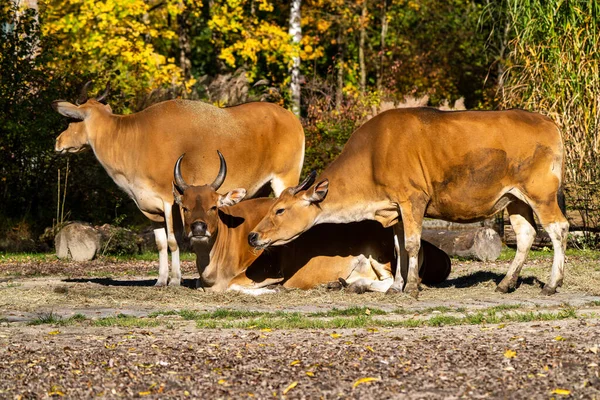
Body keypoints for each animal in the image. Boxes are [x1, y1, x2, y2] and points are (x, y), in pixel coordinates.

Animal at [247, 106, 568, 296]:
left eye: (279, 209)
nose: (253, 236)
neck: (373, 155)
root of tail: (549, 122)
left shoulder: (413, 199)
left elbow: (412, 245)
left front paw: (412, 286)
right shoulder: (395, 208)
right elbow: (399, 247)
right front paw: (397, 286)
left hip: (541, 194)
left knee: (558, 229)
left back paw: (552, 284)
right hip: (514, 198)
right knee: (526, 235)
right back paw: (505, 283)